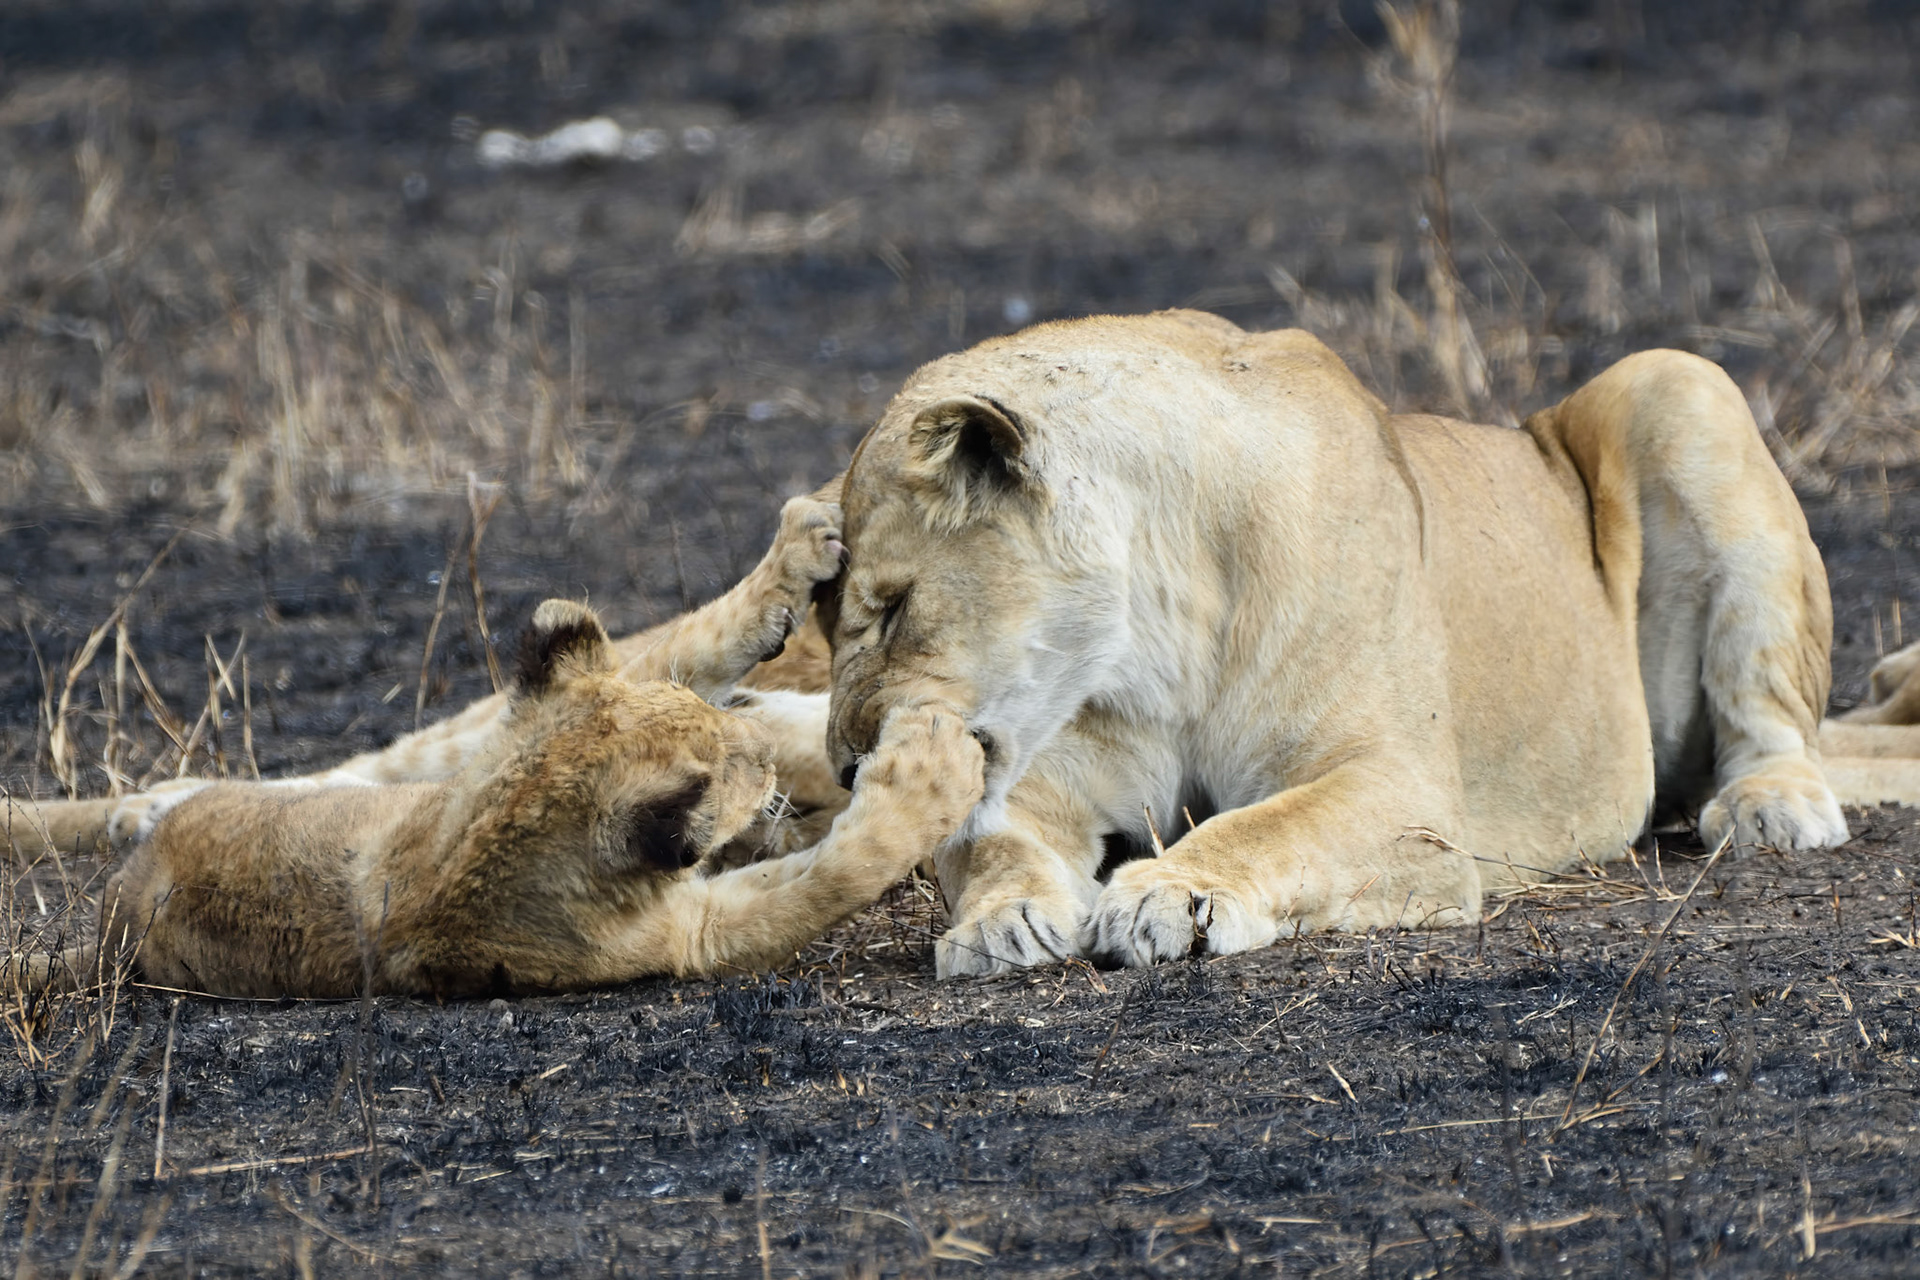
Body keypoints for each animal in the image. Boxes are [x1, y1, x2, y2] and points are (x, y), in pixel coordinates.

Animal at [9, 598, 982, 997]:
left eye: (714, 724)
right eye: (731, 765)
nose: (765, 761)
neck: (492, 826)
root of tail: (110, 936)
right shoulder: (689, 934)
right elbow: (831, 875)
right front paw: (929, 770)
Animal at [821, 310, 1920, 977]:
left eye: (890, 605)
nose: (843, 767)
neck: (1154, 641)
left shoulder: (1403, 788)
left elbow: (1268, 827)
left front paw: (1171, 891)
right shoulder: (1043, 779)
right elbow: (991, 840)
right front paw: (999, 920)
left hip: (1678, 384)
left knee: (1774, 725)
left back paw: (1774, 805)